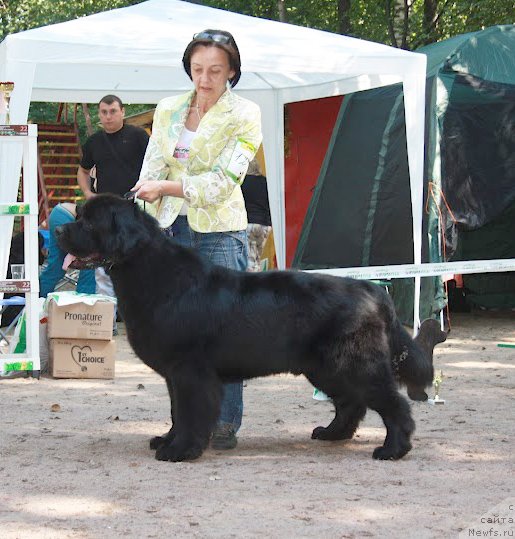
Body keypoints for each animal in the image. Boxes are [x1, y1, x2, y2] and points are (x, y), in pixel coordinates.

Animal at [54, 196, 446, 462]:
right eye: (78, 216)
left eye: (88, 222)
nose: (57, 229)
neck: (151, 273)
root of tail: (372, 290)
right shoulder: (175, 375)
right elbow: (177, 412)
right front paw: (167, 439)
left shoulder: (190, 372)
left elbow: (191, 412)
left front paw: (180, 450)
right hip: (326, 368)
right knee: (351, 403)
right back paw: (332, 434)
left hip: (354, 365)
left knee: (393, 404)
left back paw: (393, 449)